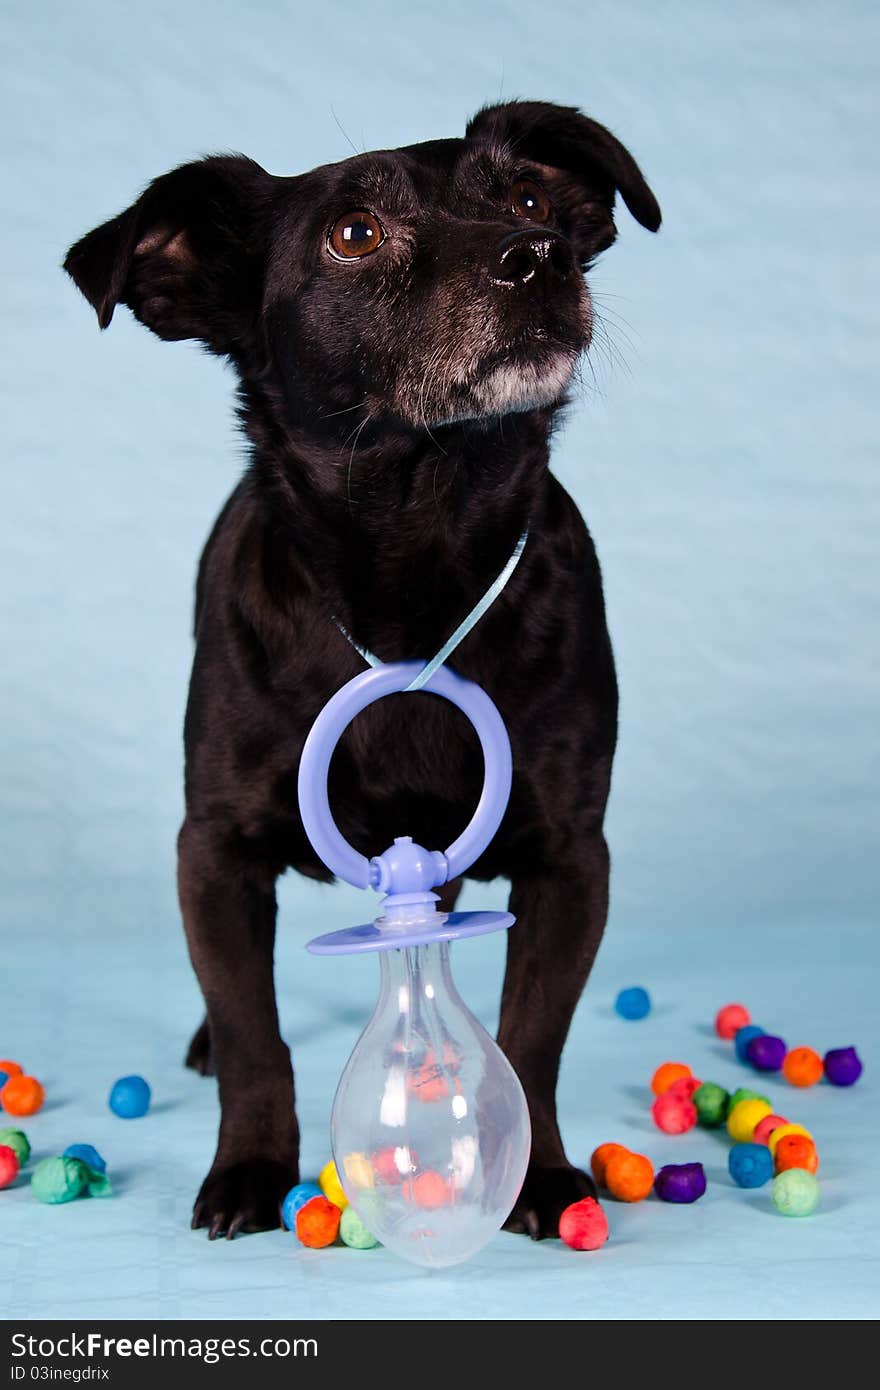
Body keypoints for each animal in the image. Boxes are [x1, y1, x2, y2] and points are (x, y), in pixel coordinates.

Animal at [65, 102, 656, 1245]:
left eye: (528, 196)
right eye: (354, 234)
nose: (539, 256)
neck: (415, 563)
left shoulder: (572, 858)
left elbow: (534, 1034)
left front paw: (539, 1172)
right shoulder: (213, 852)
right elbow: (254, 1037)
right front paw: (251, 1166)